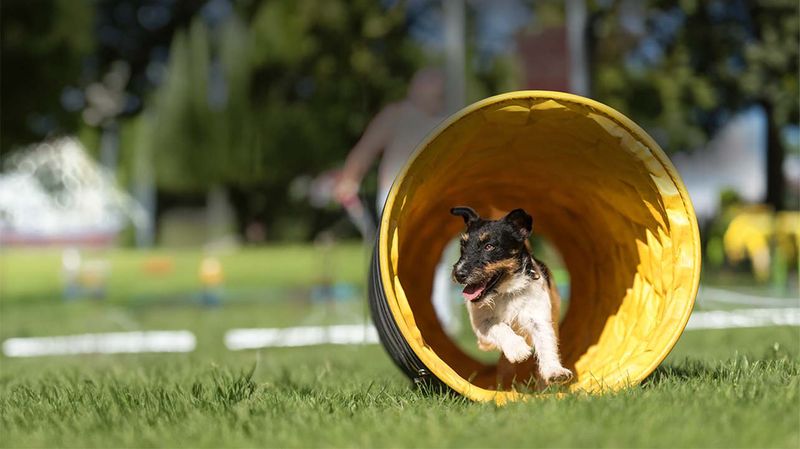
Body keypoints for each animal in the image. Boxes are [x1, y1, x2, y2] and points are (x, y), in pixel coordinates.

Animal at [450, 206, 576, 384]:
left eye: (489, 246)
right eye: (463, 246)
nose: (459, 274)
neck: (506, 292)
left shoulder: (538, 317)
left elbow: (545, 342)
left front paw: (554, 371)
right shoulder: (481, 324)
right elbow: (498, 326)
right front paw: (518, 349)